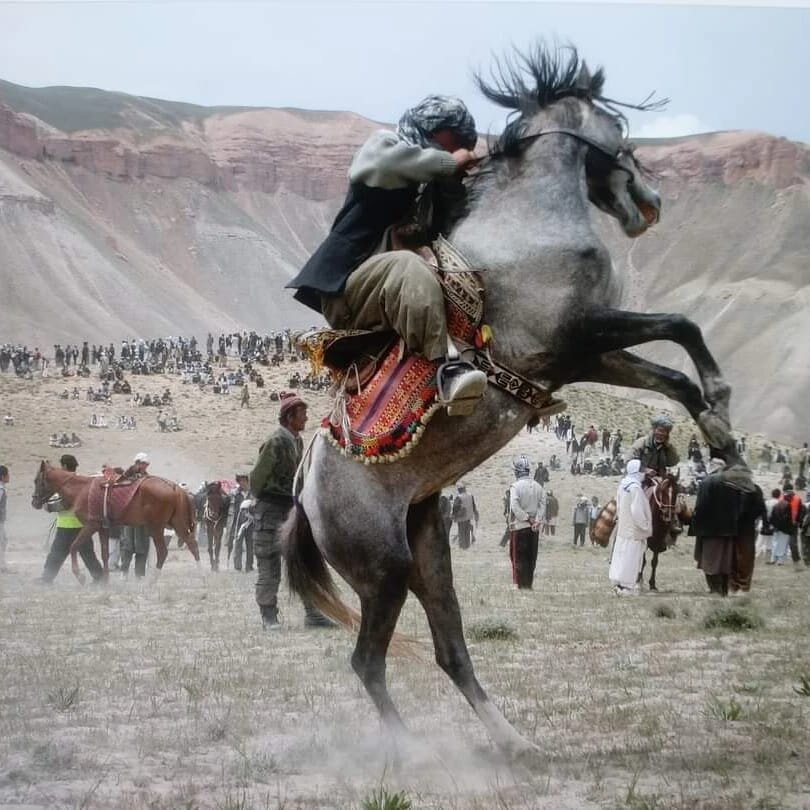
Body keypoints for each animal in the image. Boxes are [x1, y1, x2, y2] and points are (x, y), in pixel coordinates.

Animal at [31, 461, 200, 580]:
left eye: (36, 480)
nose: (34, 502)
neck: (82, 489)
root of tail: (175, 488)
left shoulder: (91, 525)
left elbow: (74, 546)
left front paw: (80, 576)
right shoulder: (103, 528)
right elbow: (105, 553)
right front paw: (105, 580)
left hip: (156, 527)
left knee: (163, 551)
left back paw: (152, 581)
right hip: (177, 523)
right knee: (192, 544)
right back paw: (202, 577)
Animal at [281, 44, 742, 761]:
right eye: (617, 124)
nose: (652, 202)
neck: (529, 225)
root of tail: (305, 491)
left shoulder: (583, 355)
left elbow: (677, 376)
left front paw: (725, 442)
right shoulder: (579, 334)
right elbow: (681, 325)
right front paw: (724, 416)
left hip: (430, 555)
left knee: (451, 652)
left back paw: (516, 742)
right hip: (383, 571)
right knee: (368, 660)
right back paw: (414, 750)